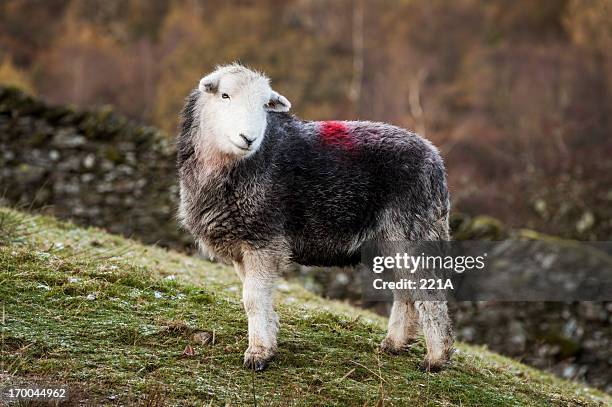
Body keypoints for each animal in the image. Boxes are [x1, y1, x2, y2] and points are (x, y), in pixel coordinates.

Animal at [177, 63, 454, 372]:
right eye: (224, 95)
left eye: (265, 105)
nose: (249, 138)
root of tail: (435, 158)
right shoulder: (242, 243)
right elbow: (257, 297)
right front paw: (269, 339)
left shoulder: (264, 239)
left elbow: (253, 299)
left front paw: (258, 353)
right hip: (389, 241)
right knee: (405, 292)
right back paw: (394, 344)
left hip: (414, 230)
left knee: (430, 294)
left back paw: (436, 358)